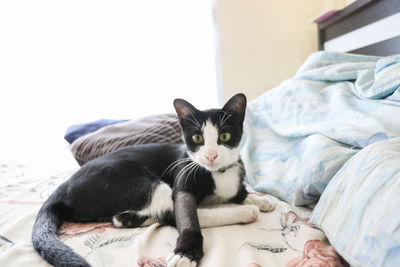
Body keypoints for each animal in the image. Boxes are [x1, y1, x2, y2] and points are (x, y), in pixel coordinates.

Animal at [31, 93, 276, 266]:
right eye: (197, 138)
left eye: (224, 136)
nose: (211, 155)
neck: (218, 173)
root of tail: (61, 190)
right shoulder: (183, 181)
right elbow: (187, 217)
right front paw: (186, 253)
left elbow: (240, 191)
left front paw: (260, 199)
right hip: (136, 181)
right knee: (171, 213)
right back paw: (243, 213)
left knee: (124, 218)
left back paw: (127, 219)